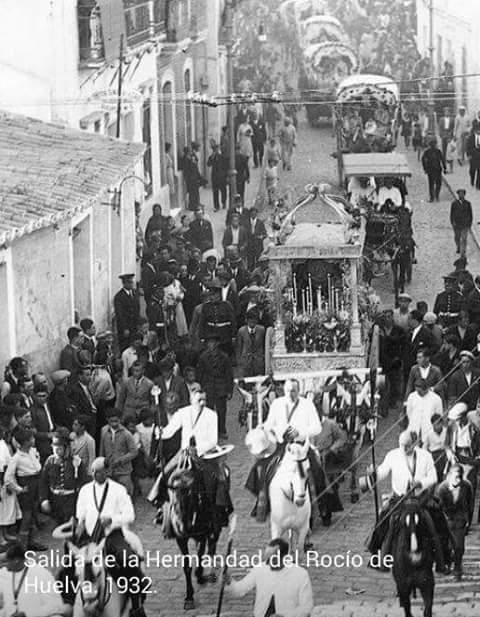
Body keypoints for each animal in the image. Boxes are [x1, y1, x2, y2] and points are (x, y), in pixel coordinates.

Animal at [164, 451, 226, 610]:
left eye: (190, 496)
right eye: (172, 500)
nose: (181, 527)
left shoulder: (202, 534)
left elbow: (200, 554)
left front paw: (200, 576)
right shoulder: (181, 539)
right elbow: (187, 566)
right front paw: (189, 596)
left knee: (212, 545)